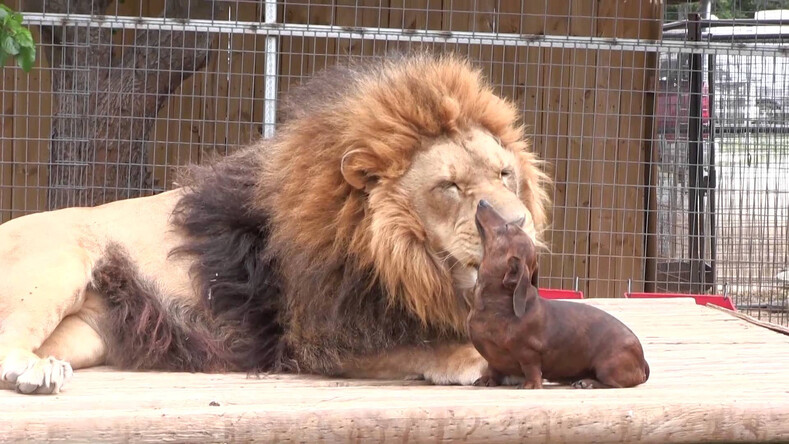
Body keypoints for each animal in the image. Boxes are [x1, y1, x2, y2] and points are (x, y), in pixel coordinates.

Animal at [0, 50, 548, 394]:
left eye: (505, 174)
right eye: (450, 186)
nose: (518, 224)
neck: (403, 261)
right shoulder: (316, 338)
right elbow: (425, 347)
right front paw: (478, 359)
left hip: (88, 332)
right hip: (59, 260)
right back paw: (37, 372)